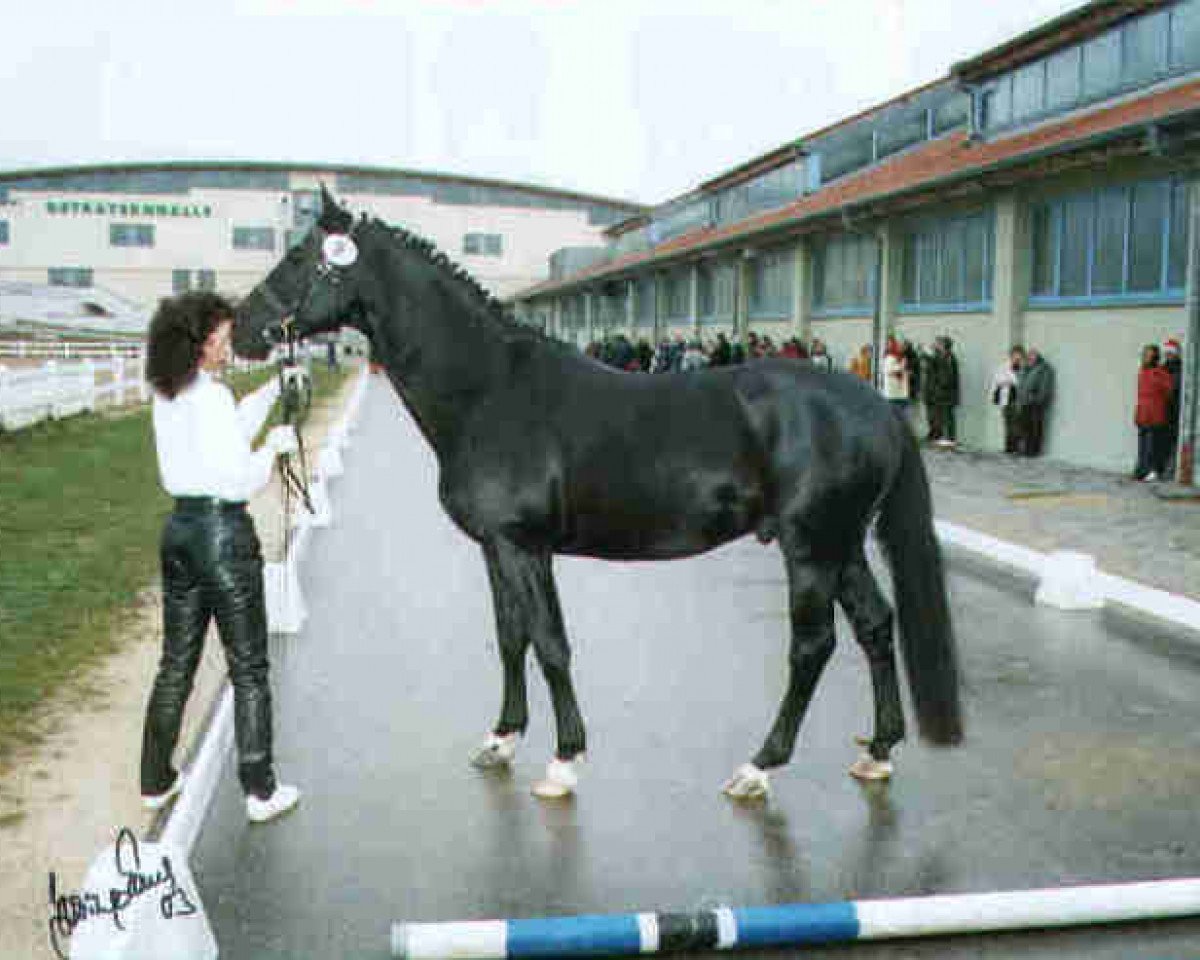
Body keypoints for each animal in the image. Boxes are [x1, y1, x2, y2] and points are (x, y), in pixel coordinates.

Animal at [233, 187, 962, 801]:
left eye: (298, 257)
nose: (240, 329)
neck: (490, 390)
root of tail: (877, 405)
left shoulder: (526, 546)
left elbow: (550, 642)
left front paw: (564, 760)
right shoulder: (496, 548)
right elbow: (510, 638)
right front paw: (501, 738)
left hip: (810, 546)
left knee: (813, 647)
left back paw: (760, 767)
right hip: (843, 546)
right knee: (875, 625)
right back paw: (878, 752)